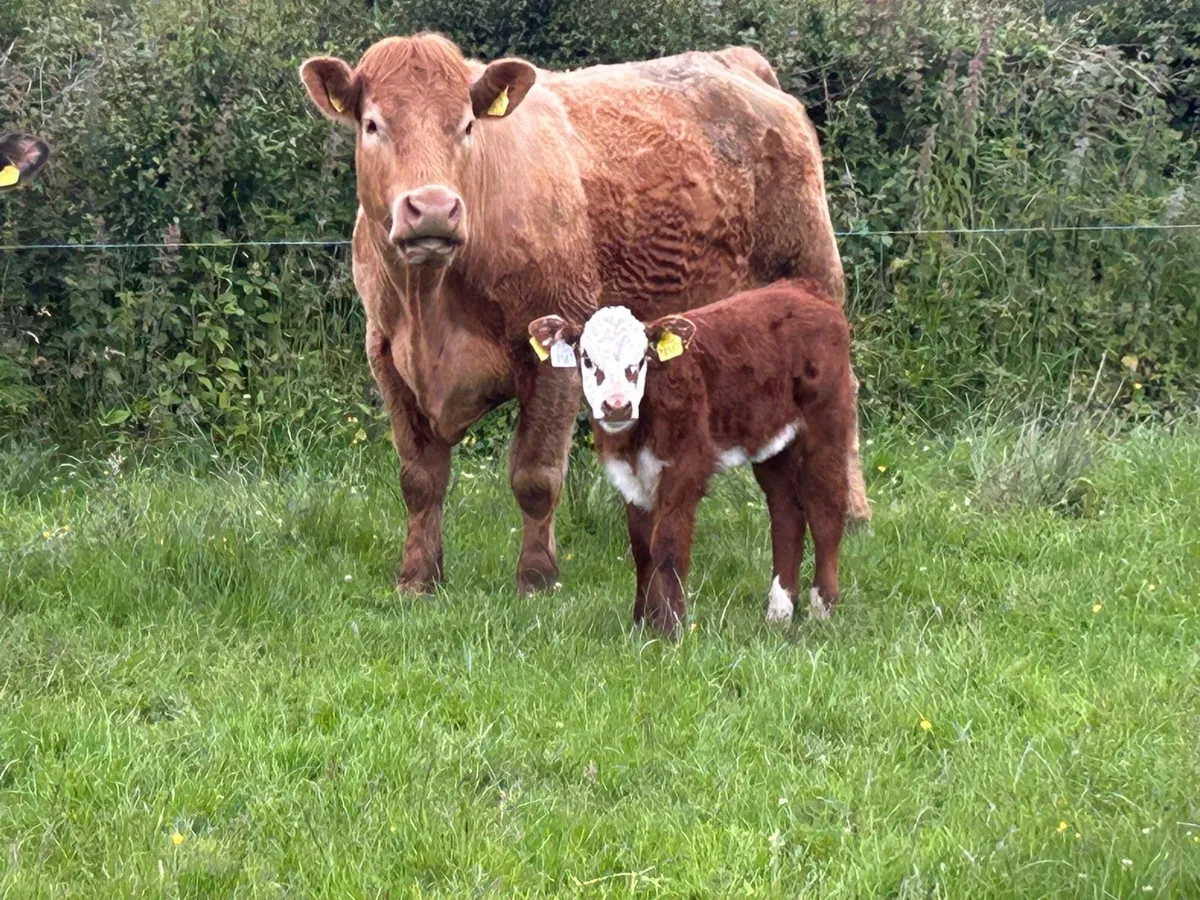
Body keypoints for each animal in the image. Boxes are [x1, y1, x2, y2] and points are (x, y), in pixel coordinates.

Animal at [298, 33, 870, 596]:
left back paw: (853, 512)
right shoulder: (387, 355)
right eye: (373, 125)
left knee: (843, 396)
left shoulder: (552, 349)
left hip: (813, 277)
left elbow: (534, 474)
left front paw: (536, 578)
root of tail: (735, 61)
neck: (432, 306)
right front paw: (417, 577)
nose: (434, 208)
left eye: (466, 125)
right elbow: (419, 478)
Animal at [528, 279, 854, 634]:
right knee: (785, 512)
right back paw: (778, 614)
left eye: (641, 359)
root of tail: (803, 289)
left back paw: (822, 608)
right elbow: (641, 549)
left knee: (825, 510)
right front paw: (643, 624)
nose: (617, 406)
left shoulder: (683, 470)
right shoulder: (629, 478)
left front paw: (672, 628)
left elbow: (667, 546)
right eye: (586, 358)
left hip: (827, 422)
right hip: (773, 440)